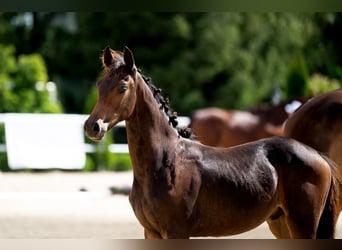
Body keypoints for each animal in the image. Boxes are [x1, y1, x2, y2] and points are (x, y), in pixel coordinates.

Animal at [85, 46, 340, 239]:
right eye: (99, 85)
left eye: (122, 87)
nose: (92, 126)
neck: (168, 162)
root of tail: (318, 156)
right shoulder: (151, 233)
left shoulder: (176, 233)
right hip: (281, 223)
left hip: (302, 225)